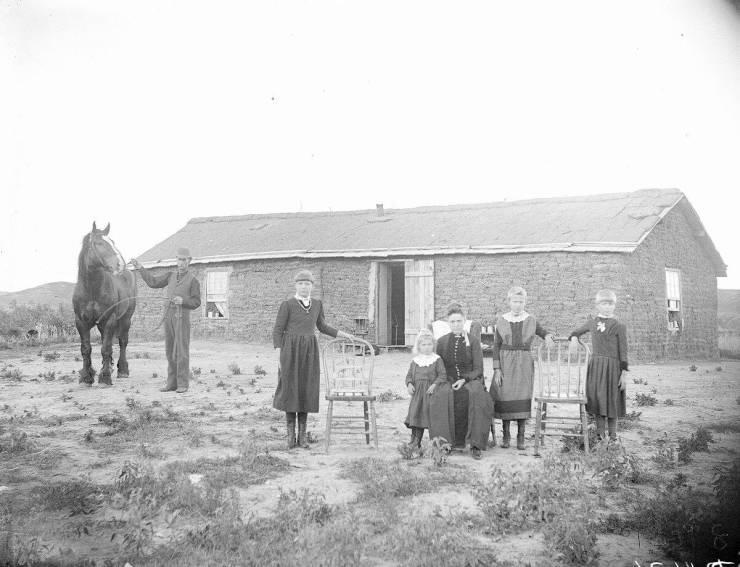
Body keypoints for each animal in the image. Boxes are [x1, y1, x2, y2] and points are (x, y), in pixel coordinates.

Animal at [73, 223, 137, 386]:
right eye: (99, 243)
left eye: (112, 242)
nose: (120, 264)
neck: (92, 289)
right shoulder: (81, 322)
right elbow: (86, 349)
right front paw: (86, 377)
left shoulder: (110, 319)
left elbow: (106, 348)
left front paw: (105, 377)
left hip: (126, 319)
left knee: (122, 342)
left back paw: (122, 370)